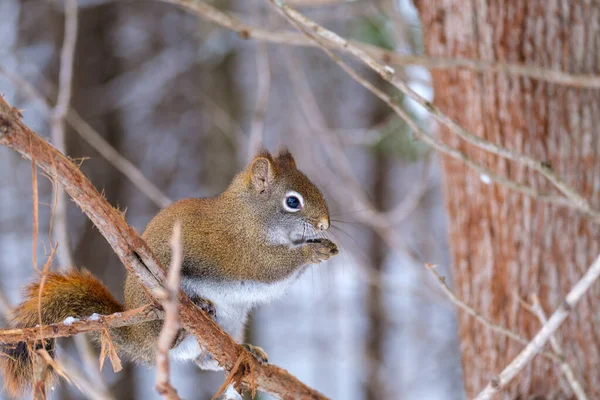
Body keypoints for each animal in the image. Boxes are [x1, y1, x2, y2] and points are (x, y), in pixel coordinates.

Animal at [0, 149, 338, 396]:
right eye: (292, 201)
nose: (324, 224)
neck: (248, 217)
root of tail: (137, 336)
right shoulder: (240, 252)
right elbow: (270, 269)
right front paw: (313, 251)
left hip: (231, 319)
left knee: (205, 360)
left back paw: (244, 350)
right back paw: (188, 320)